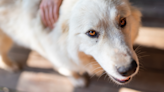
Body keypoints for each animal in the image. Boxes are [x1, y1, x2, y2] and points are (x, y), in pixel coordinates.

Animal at [0, 0, 141, 87]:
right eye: (91, 33)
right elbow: (68, 69)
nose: (129, 69)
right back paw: (10, 66)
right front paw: (77, 80)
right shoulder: (56, 54)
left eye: (122, 21)